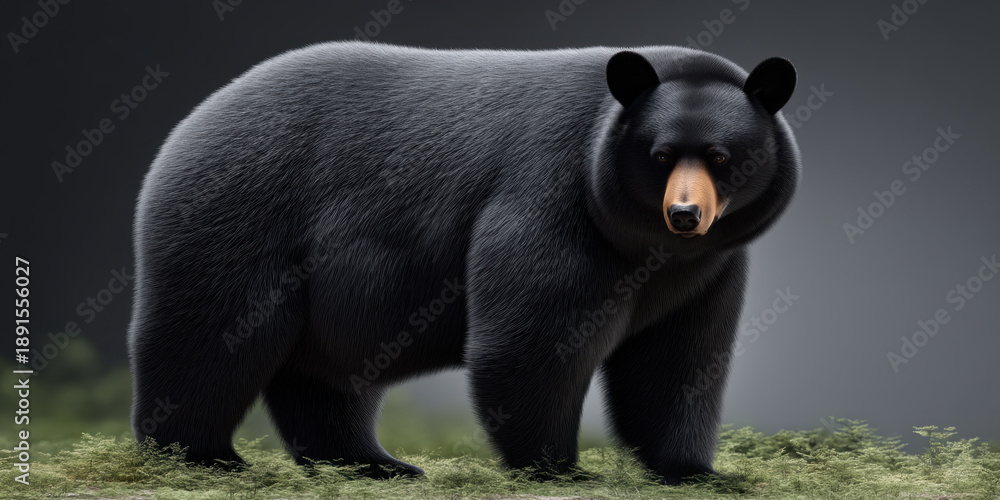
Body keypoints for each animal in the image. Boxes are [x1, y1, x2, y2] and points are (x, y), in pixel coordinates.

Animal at [128, 41, 799, 484]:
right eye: (661, 155)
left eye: (719, 155)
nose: (685, 214)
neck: (648, 245)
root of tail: (191, 124)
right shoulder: (551, 199)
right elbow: (534, 338)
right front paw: (559, 467)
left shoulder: (707, 269)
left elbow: (678, 360)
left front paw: (697, 470)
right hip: (241, 215)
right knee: (208, 337)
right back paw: (201, 455)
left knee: (326, 373)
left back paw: (373, 463)